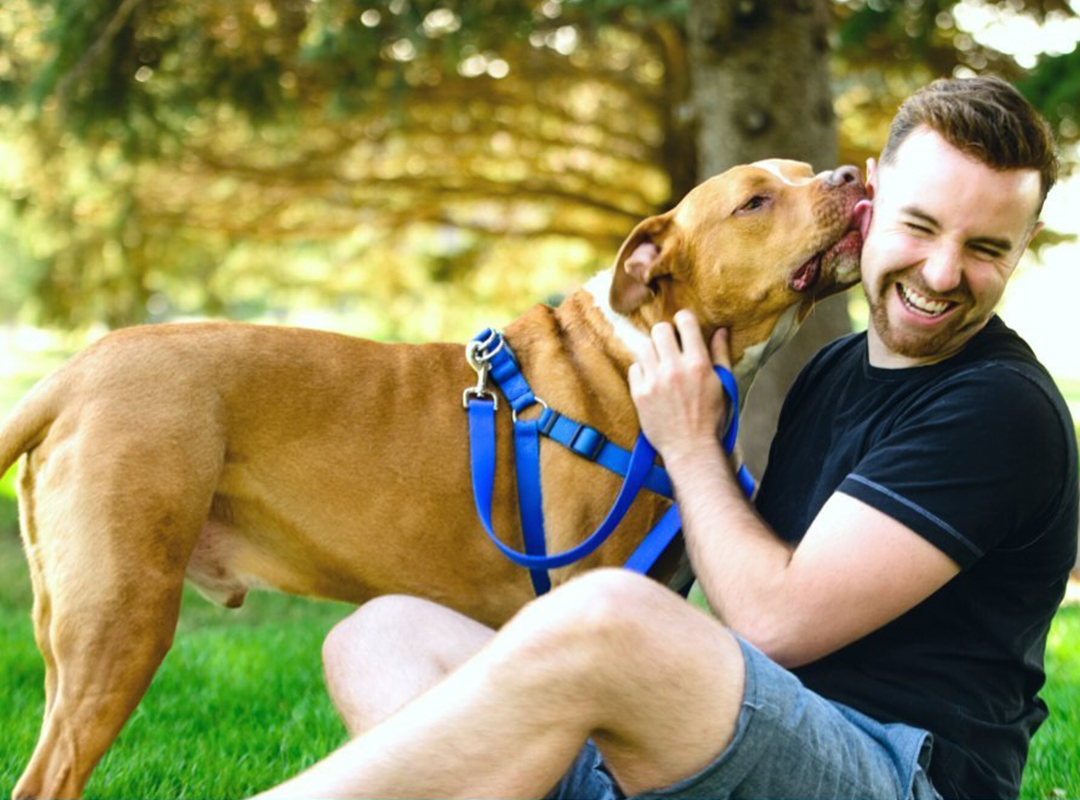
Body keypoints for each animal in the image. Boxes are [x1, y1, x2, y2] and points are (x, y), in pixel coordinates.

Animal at [0, 157, 859, 798]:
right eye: (755, 200)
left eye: (804, 171)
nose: (852, 174)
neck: (640, 347)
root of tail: (74, 372)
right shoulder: (586, 595)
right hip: (125, 614)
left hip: (73, 631)